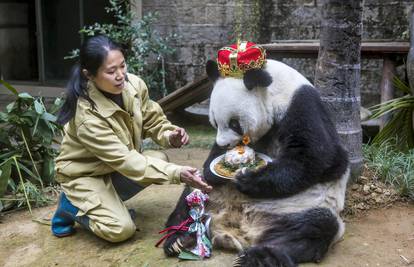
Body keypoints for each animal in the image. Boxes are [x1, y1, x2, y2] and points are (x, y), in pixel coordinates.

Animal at [162, 57, 350, 266]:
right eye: (215, 122)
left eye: (234, 124)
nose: (225, 143)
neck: (274, 88)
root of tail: (237, 222)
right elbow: (213, 160)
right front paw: (215, 169)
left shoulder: (302, 106)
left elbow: (320, 157)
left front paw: (248, 180)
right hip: (211, 194)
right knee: (191, 193)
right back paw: (178, 238)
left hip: (305, 206)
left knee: (312, 229)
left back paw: (260, 256)